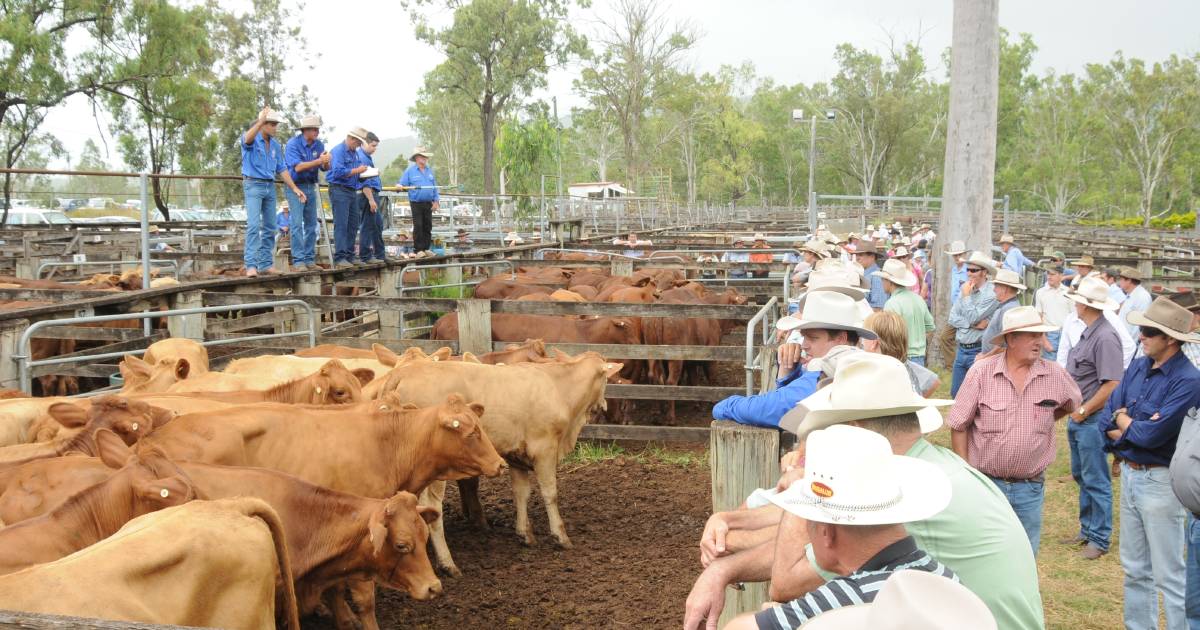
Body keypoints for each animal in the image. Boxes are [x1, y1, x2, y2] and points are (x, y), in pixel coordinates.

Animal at [376, 350, 619, 571]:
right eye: (607, 378)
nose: (604, 404)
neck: (558, 386)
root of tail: (402, 372)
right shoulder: (545, 450)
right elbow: (550, 494)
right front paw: (560, 536)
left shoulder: (517, 456)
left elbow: (521, 493)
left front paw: (524, 534)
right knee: (433, 507)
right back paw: (447, 564)